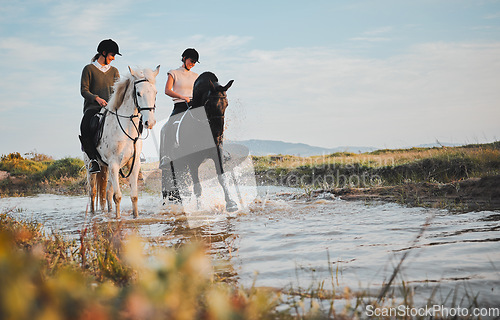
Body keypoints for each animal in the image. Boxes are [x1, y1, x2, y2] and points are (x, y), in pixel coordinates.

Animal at [83, 66, 158, 219]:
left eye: (155, 93)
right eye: (138, 93)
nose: (150, 122)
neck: (126, 128)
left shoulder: (133, 164)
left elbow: (134, 196)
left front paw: (135, 217)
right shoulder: (114, 164)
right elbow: (117, 196)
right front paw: (117, 219)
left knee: (107, 192)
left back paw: (109, 212)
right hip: (91, 168)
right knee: (93, 193)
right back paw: (93, 215)